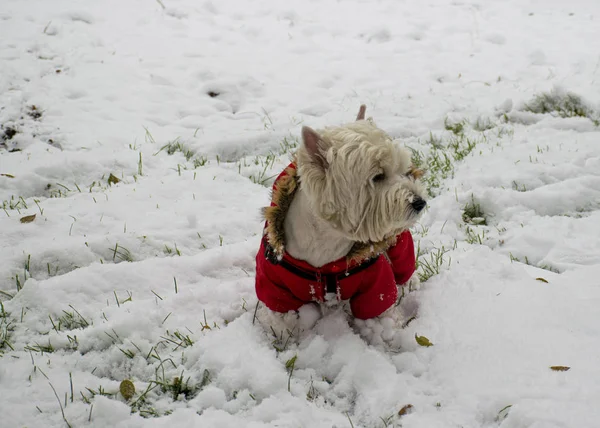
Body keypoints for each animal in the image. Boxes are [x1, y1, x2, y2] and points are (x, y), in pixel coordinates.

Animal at [254, 105, 426, 350]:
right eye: (378, 176)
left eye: (404, 170)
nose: (420, 202)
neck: (326, 241)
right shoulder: (274, 283)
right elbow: (281, 316)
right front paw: (286, 337)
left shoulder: (376, 281)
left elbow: (378, 310)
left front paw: (384, 339)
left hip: (398, 241)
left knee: (404, 258)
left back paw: (409, 282)